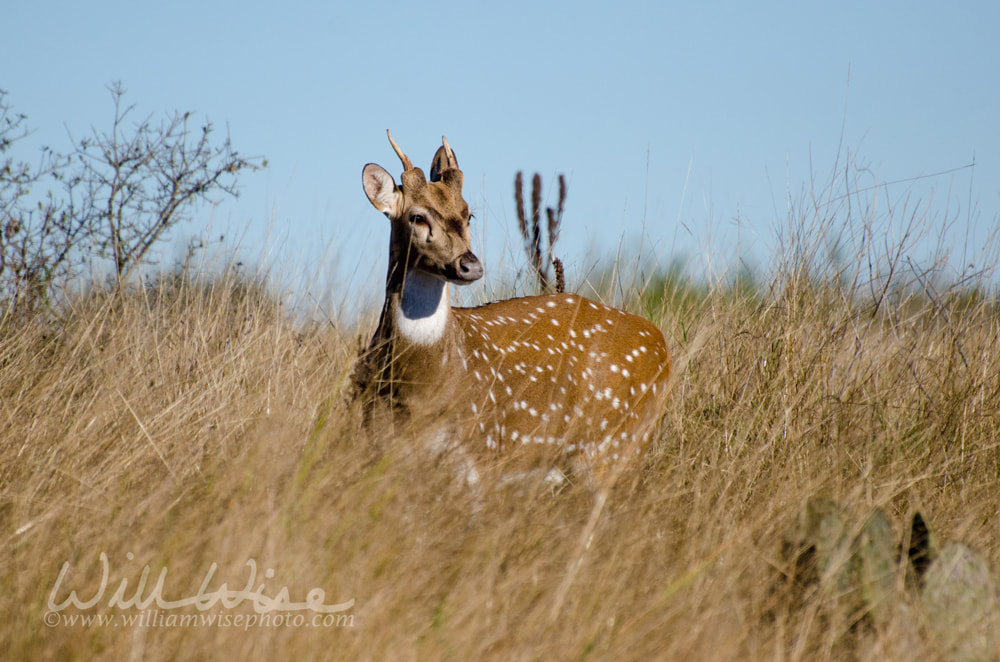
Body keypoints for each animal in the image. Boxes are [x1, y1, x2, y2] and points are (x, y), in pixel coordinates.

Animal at [352, 131, 672, 624]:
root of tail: (663, 347)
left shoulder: (483, 453)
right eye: (417, 216)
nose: (469, 265)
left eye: (468, 213)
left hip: (615, 445)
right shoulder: (384, 451)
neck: (424, 386)